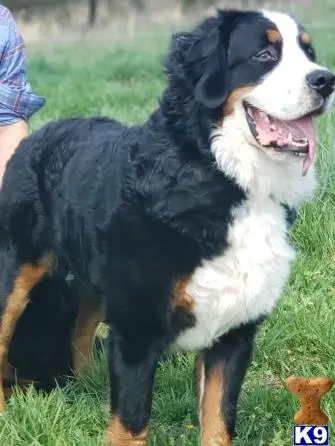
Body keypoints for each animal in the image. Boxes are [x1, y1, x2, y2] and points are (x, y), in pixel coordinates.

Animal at [0, 7, 334, 446]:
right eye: (264, 55)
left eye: (309, 53)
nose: (326, 80)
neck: (219, 174)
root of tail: (41, 134)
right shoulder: (138, 329)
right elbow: (131, 424)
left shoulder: (233, 331)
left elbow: (218, 420)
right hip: (16, 271)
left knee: (81, 329)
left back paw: (88, 387)